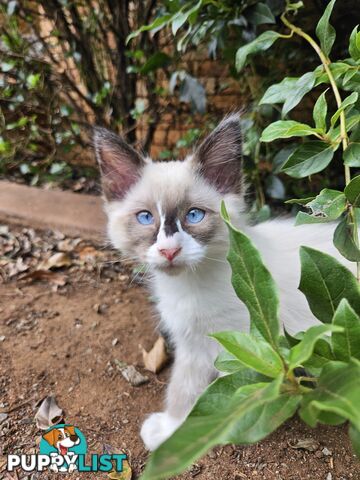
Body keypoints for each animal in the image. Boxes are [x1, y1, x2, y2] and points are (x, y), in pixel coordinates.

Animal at [93, 115, 354, 450]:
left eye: (194, 215)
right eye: (145, 218)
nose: (169, 250)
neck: (189, 285)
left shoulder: (236, 344)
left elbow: (206, 391)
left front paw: (182, 431)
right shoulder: (191, 342)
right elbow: (182, 383)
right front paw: (172, 425)